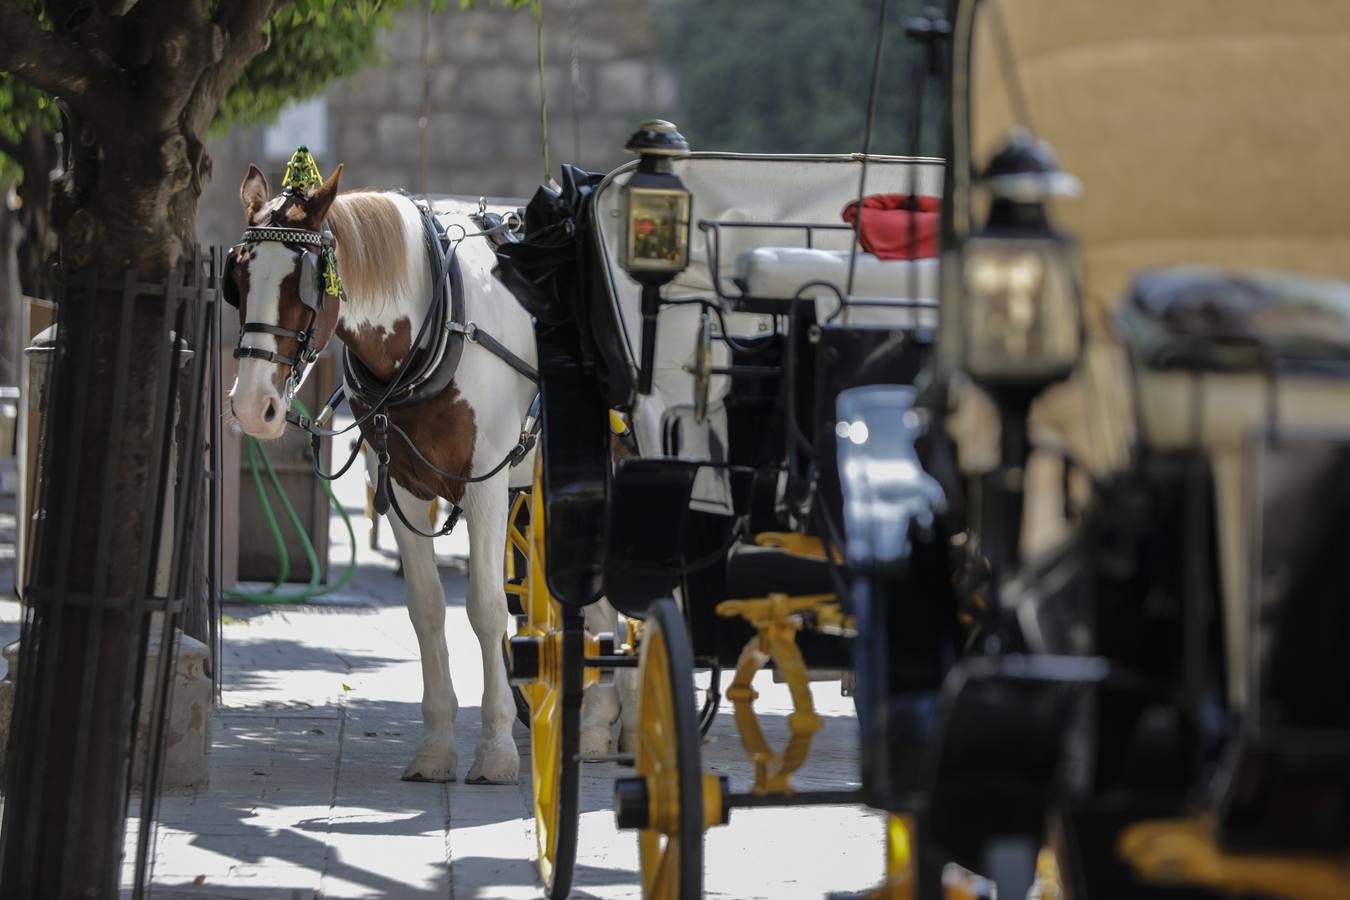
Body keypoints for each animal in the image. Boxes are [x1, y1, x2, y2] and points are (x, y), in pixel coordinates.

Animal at [229, 165, 629, 782]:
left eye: (306, 284)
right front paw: (437, 748)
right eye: (239, 275)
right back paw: (598, 725)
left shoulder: (487, 486)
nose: (253, 407)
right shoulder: (401, 488)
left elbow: (486, 609)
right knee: (598, 604)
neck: (439, 322)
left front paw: (495, 749)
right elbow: (426, 609)